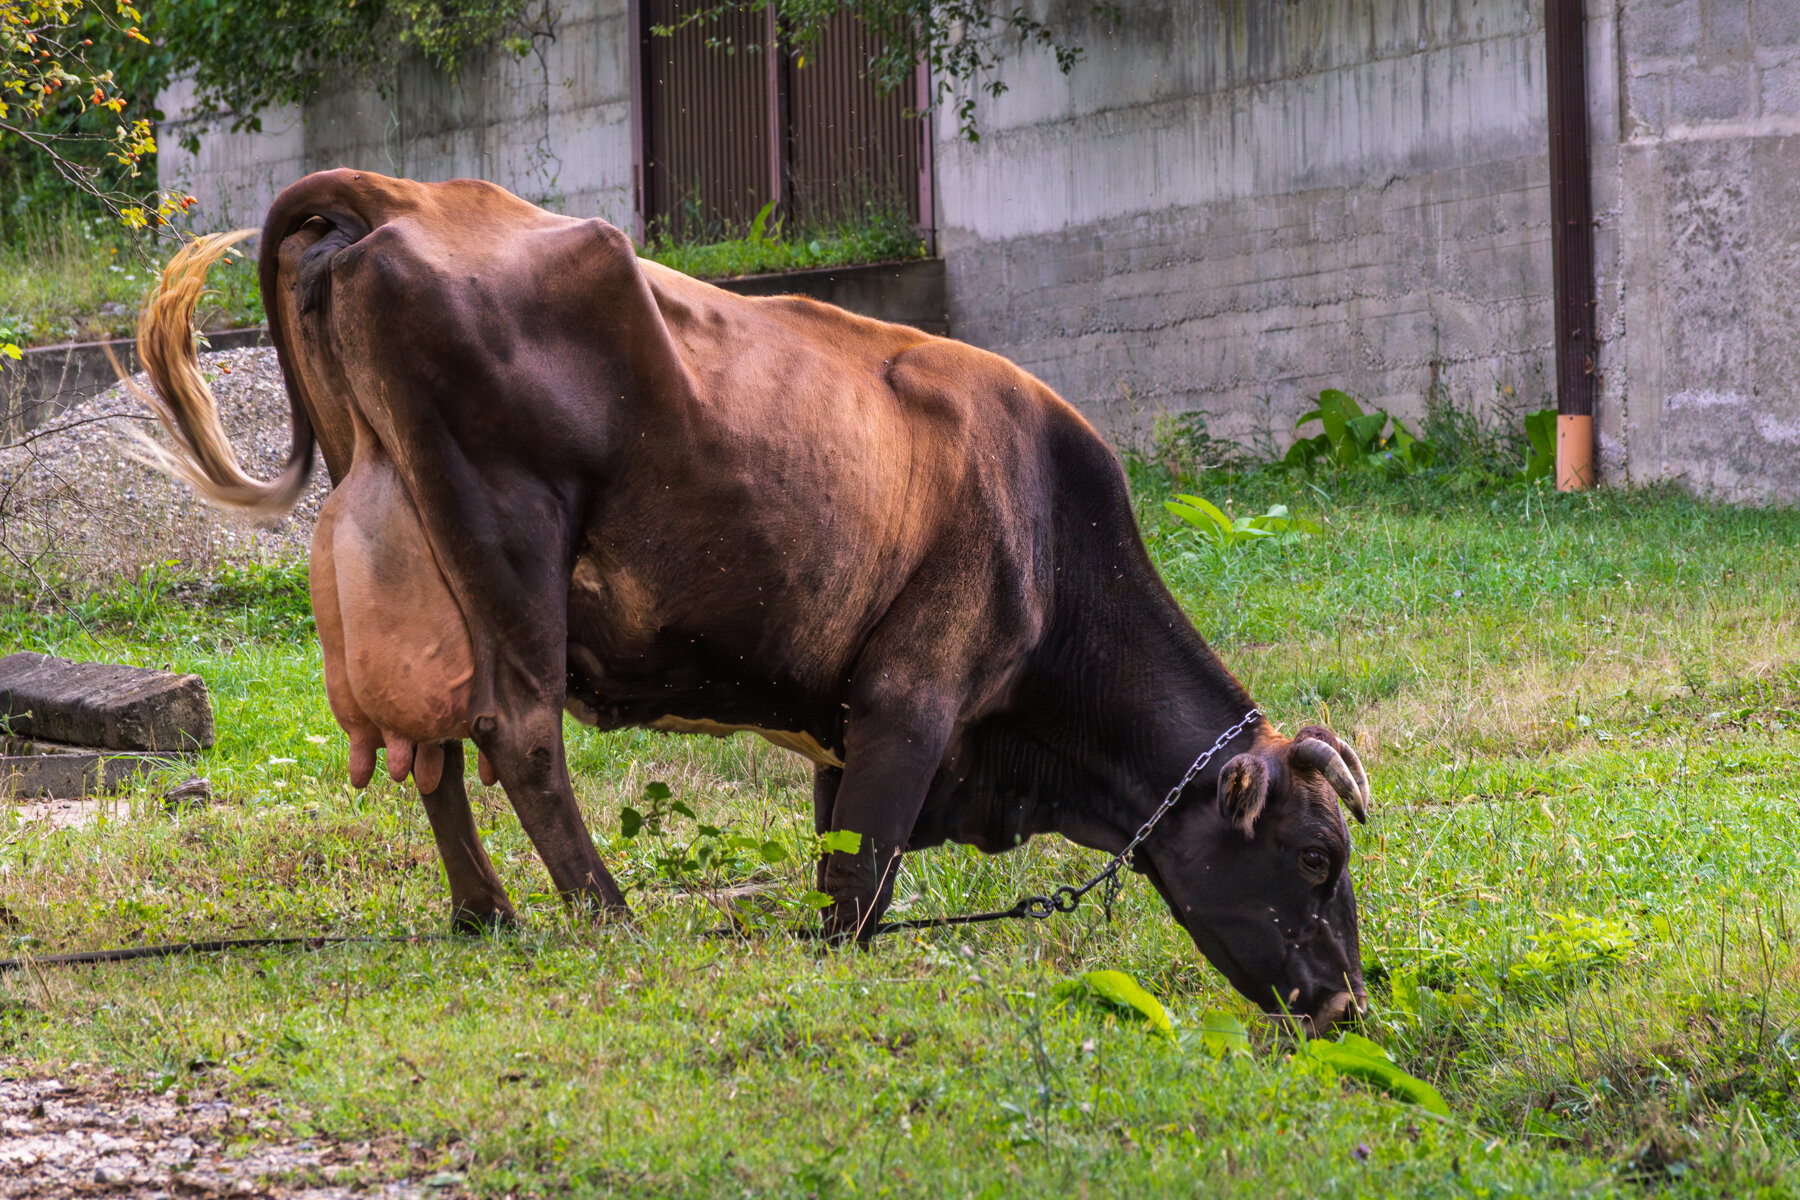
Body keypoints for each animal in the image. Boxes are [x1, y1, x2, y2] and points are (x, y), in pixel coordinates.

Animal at [131, 170, 1372, 1031]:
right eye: (1317, 856)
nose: (1348, 1003)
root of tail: (401, 194)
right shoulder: (913, 696)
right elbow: (860, 882)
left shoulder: (847, 727)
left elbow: (838, 849)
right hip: (508, 532)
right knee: (516, 733)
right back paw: (608, 917)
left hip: (407, 540)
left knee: (429, 749)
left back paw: (487, 915)